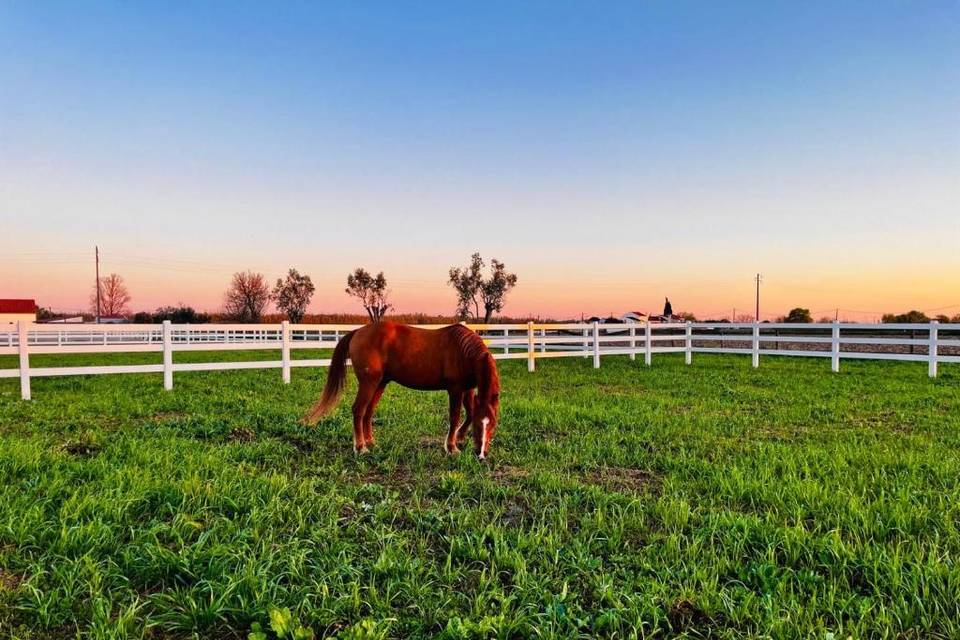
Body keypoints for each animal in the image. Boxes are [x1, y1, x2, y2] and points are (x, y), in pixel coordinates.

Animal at [302, 322, 501, 459]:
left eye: (492, 424)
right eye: (479, 426)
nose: (481, 454)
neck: (463, 350)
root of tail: (357, 332)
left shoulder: (468, 389)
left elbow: (470, 413)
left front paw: (459, 438)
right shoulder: (455, 389)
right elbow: (455, 417)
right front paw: (452, 447)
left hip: (380, 384)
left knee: (368, 412)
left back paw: (371, 443)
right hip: (369, 383)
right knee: (358, 410)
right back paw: (360, 447)